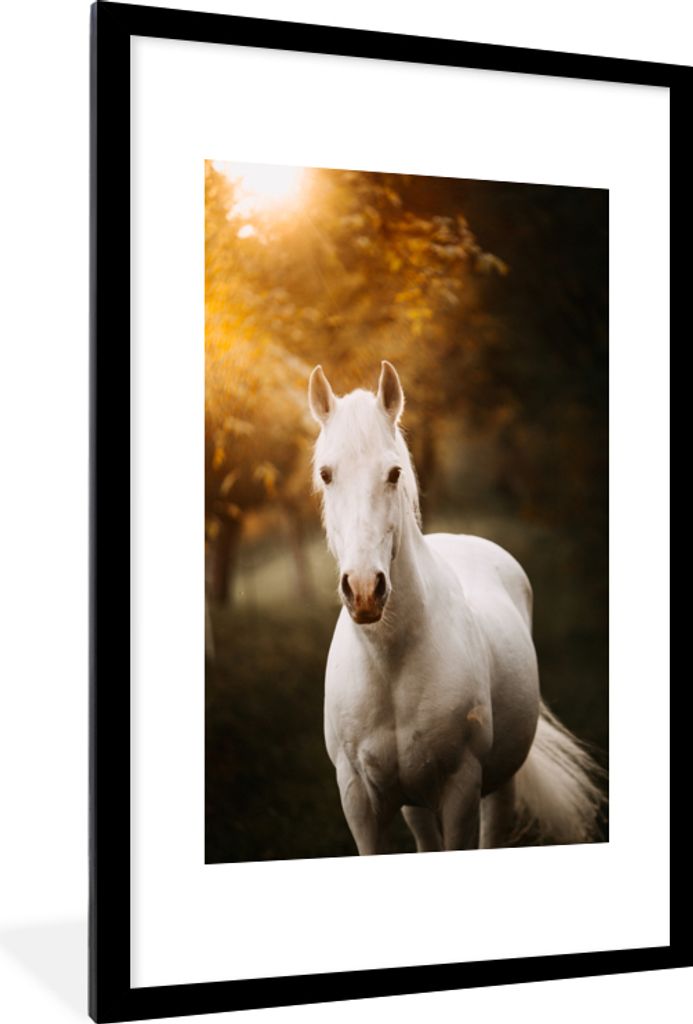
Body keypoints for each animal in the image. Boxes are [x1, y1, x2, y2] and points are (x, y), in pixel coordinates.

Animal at [308, 360, 604, 855]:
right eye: (327, 474)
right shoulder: (358, 799)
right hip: (413, 801)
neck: (391, 663)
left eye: (393, 473)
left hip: (500, 784)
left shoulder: (460, 788)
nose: (365, 589)